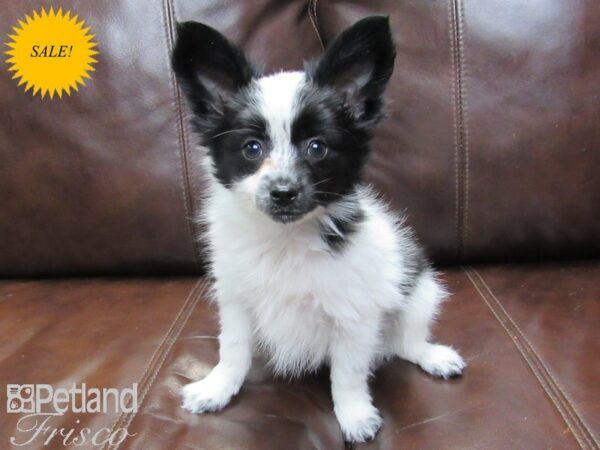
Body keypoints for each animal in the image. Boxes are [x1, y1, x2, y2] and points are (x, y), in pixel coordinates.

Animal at [171, 14, 466, 442]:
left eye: (317, 147)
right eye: (251, 149)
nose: (283, 193)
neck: (285, 240)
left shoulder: (354, 316)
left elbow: (347, 374)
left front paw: (355, 416)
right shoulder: (237, 300)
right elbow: (234, 350)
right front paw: (218, 388)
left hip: (420, 293)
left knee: (407, 341)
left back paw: (433, 356)